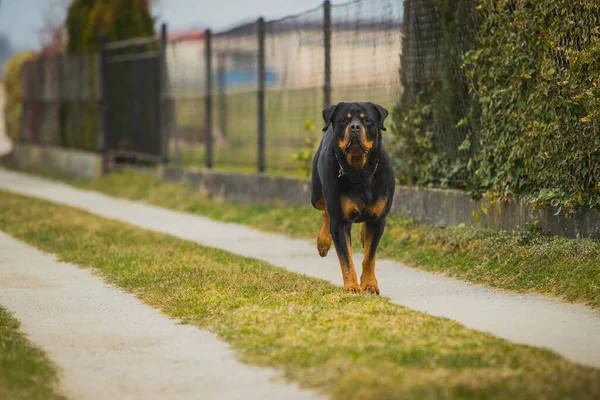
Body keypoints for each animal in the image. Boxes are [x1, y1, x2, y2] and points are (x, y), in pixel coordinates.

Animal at [312, 101, 396, 294]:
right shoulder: (340, 221)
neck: (359, 172)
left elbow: (370, 256)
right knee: (325, 210)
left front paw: (370, 284)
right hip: (316, 195)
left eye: (367, 120)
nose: (355, 127)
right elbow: (346, 258)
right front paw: (351, 286)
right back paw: (323, 242)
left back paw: (363, 235)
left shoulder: (378, 219)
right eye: (344, 120)